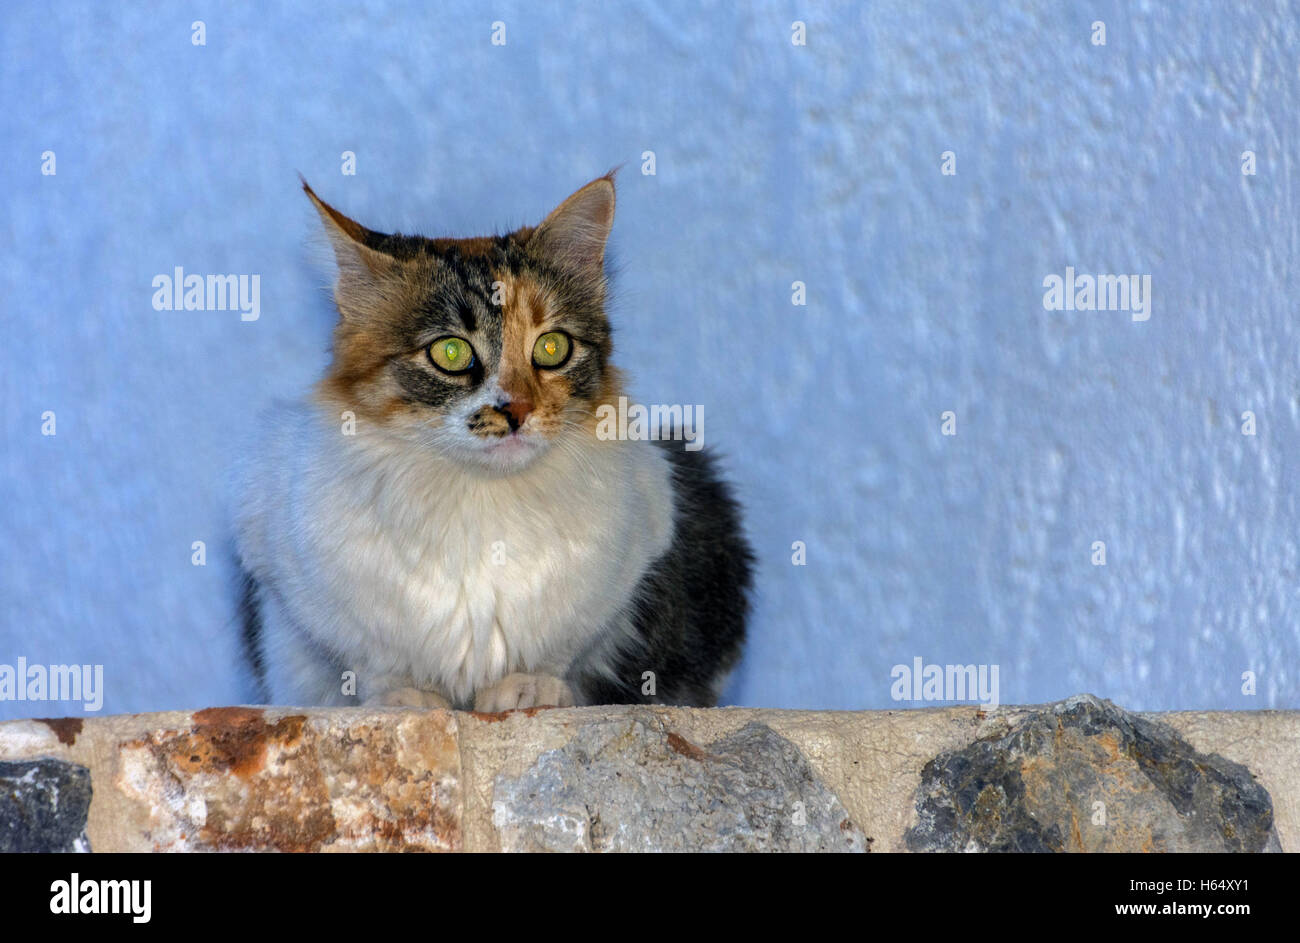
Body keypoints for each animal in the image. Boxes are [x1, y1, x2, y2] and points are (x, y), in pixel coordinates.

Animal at [236, 174, 754, 707]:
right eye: (450, 352)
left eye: (552, 347)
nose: (517, 410)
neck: (478, 500)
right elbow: (375, 669)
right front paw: (407, 698)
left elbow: (558, 658)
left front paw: (528, 688)